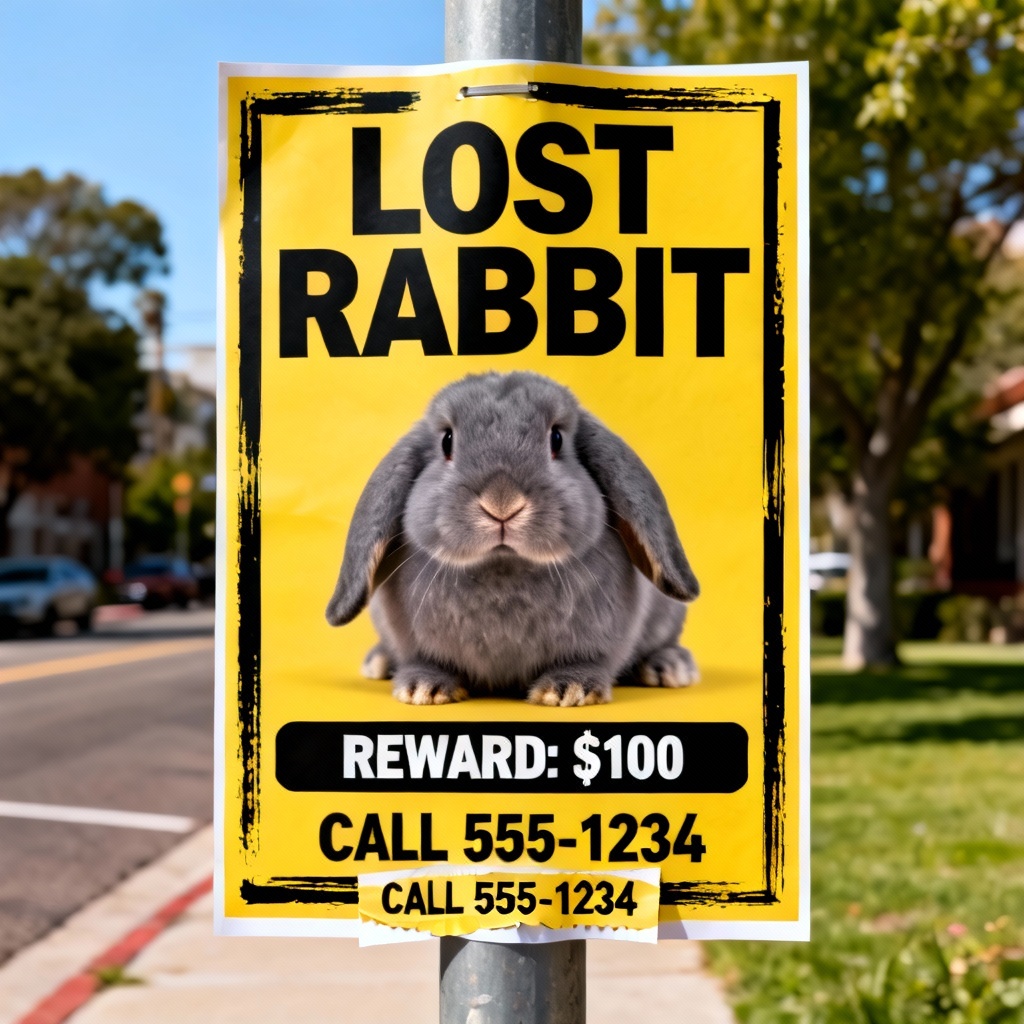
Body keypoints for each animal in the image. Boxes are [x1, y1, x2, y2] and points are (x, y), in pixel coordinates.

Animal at [325, 371, 700, 707]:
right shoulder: (416, 642)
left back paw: (669, 667)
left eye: (556, 439)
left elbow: (588, 661)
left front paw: (569, 689)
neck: (503, 567)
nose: (502, 502)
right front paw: (424, 688)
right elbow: (426, 661)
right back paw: (380, 662)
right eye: (447, 441)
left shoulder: (598, 640)